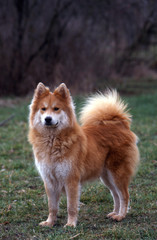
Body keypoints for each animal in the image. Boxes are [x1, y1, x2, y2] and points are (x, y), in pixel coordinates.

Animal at [28, 82, 140, 227]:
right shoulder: (49, 180)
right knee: (115, 195)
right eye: (43, 109)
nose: (48, 119)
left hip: (117, 173)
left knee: (124, 195)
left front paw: (71, 224)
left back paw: (120, 216)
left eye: (56, 109)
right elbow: (52, 207)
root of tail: (119, 124)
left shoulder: (71, 179)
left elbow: (71, 206)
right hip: (106, 176)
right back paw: (114, 213)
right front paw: (50, 222)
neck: (52, 141)